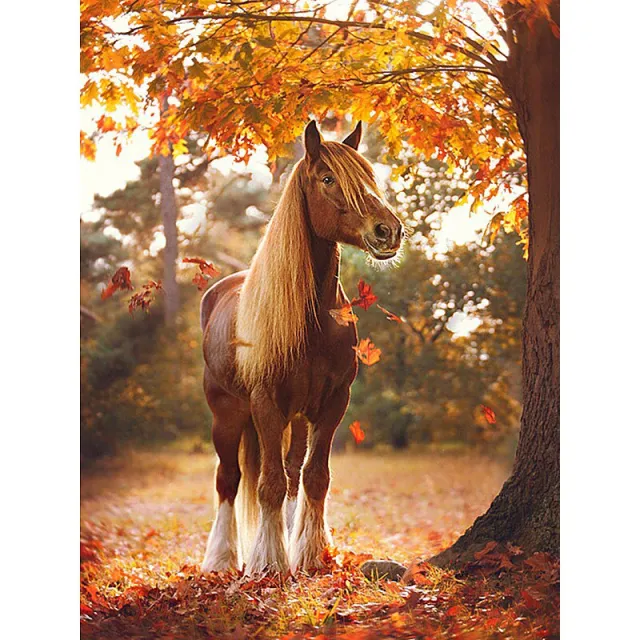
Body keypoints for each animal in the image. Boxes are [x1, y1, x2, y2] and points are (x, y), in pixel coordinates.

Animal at [200, 120, 404, 575]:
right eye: (328, 179)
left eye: (369, 176)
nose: (388, 231)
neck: (313, 321)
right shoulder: (265, 403)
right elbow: (268, 484)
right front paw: (268, 563)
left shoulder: (332, 403)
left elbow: (314, 477)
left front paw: (309, 554)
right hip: (228, 414)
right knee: (228, 480)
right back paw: (220, 559)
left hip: (294, 417)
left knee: (293, 473)